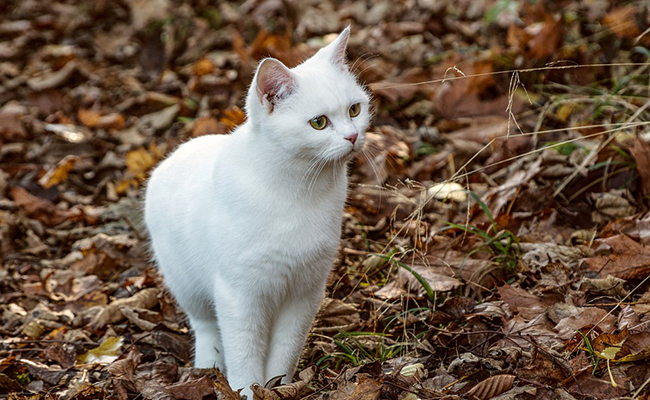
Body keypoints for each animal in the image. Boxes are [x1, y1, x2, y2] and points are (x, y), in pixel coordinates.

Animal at [144, 28, 370, 396]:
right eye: (319, 123)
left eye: (354, 109)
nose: (353, 137)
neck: (298, 192)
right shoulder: (239, 295)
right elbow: (244, 353)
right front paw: (247, 392)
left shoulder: (304, 292)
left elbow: (285, 350)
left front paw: (278, 387)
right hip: (186, 284)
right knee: (206, 328)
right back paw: (207, 368)